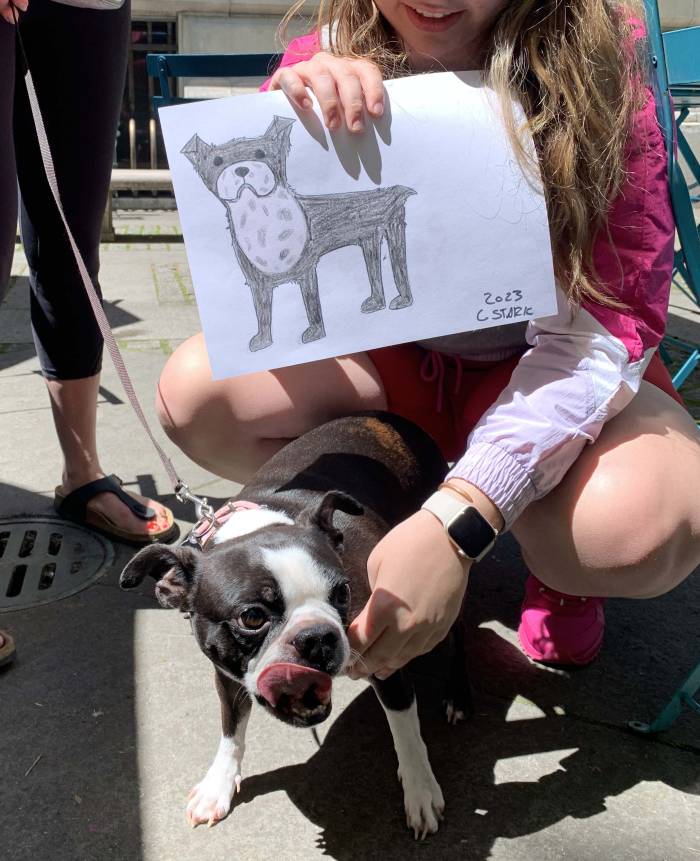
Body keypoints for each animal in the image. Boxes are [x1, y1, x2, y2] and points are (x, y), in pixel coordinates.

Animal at [120, 412, 471, 839]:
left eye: (342, 592)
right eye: (252, 617)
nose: (318, 637)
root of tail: (393, 420)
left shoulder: (389, 655)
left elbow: (405, 729)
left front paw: (420, 790)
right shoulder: (227, 676)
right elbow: (230, 730)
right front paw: (218, 784)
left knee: (459, 632)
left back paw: (458, 695)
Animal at [181, 117, 415, 352]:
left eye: (261, 153)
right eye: (217, 161)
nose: (241, 169)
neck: (262, 219)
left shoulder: (306, 270)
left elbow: (312, 304)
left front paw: (315, 333)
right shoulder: (257, 282)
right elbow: (262, 313)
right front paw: (263, 342)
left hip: (394, 229)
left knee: (400, 268)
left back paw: (403, 301)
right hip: (369, 239)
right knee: (374, 270)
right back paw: (376, 303)